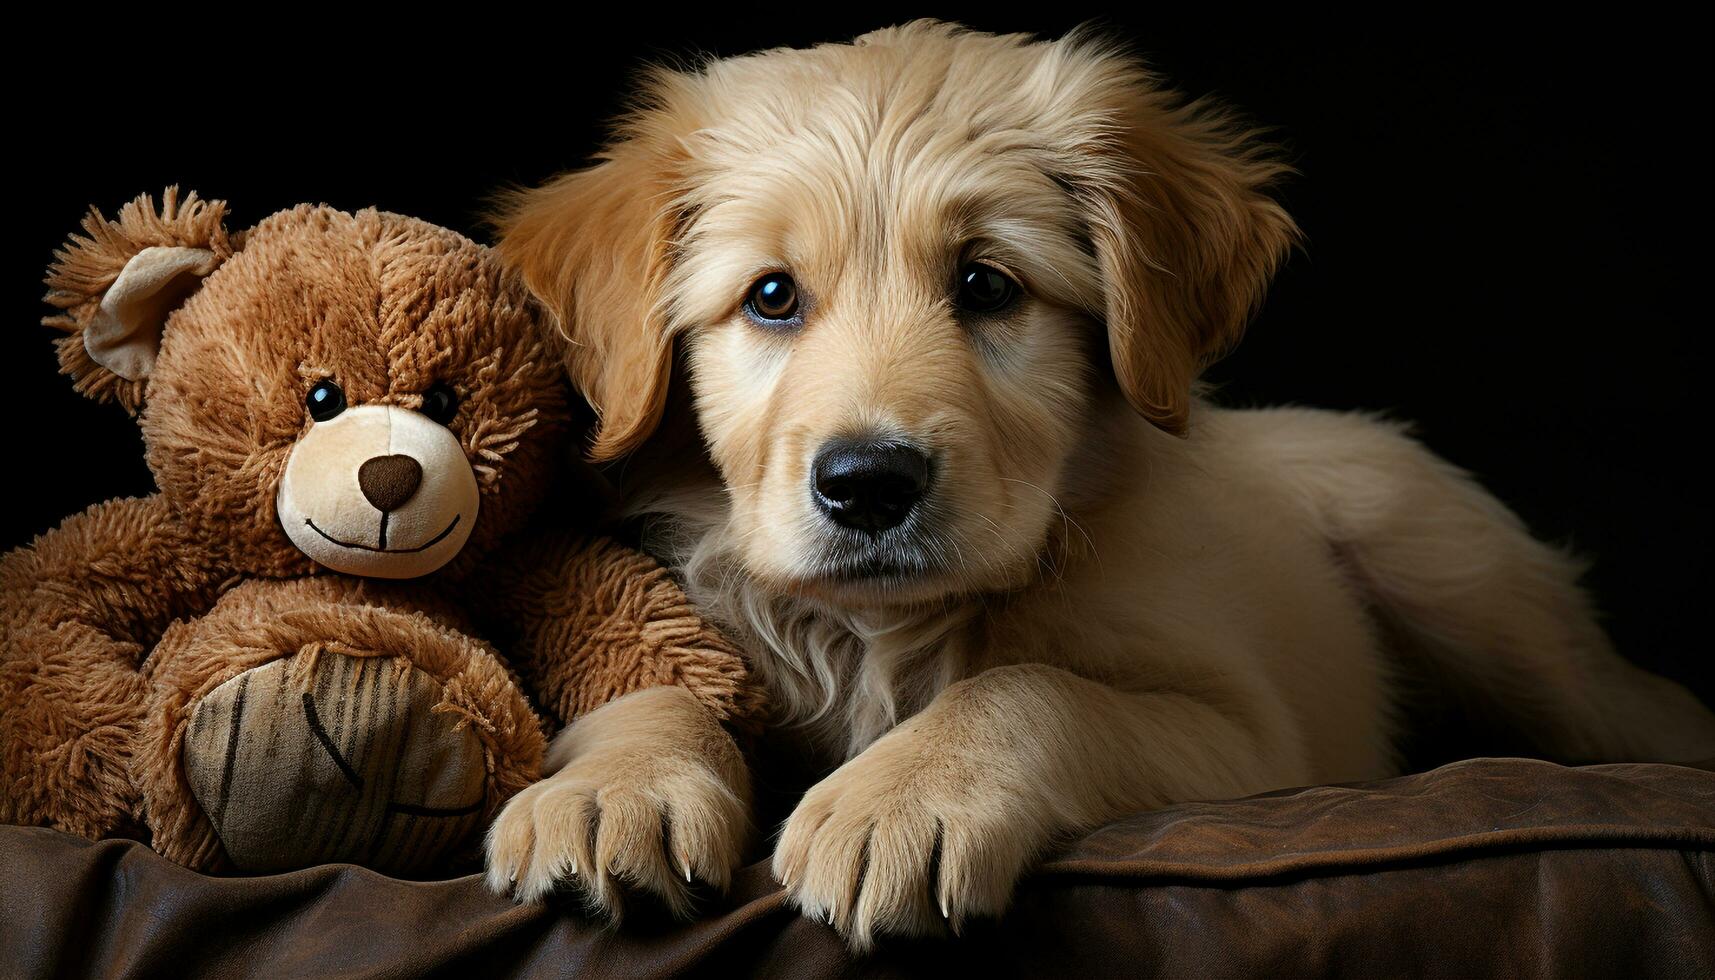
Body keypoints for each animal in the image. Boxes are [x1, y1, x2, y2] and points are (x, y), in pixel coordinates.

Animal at [480, 17, 1715, 954]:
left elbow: (1032, 687)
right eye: (771, 296)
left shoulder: (1256, 742)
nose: (868, 483)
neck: (881, 635)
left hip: (1472, 592)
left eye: (987, 285)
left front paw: (902, 794)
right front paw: (612, 783)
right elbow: (649, 674)